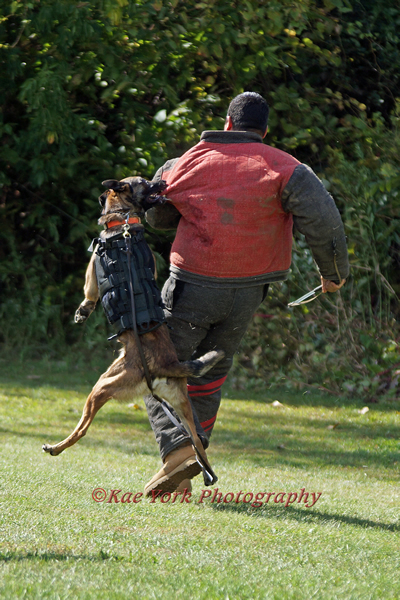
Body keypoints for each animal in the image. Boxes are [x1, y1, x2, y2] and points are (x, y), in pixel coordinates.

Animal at [42, 176, 224, 488]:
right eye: (145, 182)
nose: (162, 180)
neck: (123, 221)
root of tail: (169, 363)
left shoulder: (92, 273)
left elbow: (88, 293)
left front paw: (82, 311)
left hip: (102, 387)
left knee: (82, 428)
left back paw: (56, 447)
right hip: (182, 408)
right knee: (198, 444)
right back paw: (199, 471)